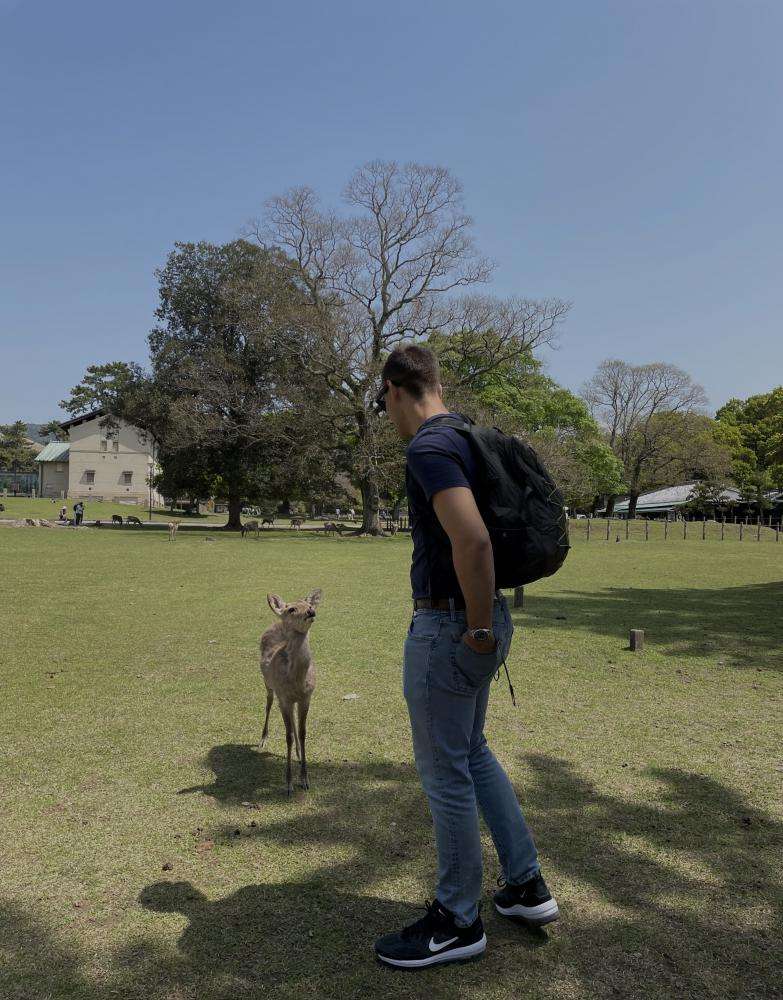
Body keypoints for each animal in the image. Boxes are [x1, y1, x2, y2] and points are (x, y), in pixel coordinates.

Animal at [260, 588, 322, 792]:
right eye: (292, 609)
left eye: (309, 604)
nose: (311, 611)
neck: (296, 681)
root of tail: (276, 620)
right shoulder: (284, 697)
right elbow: (287, 736)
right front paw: (288, 784)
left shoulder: (306, 697)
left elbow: (302, 733)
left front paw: (305, 779)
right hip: (268, 684)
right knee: (268, 703)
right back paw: (263, 739)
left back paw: (297, 752)